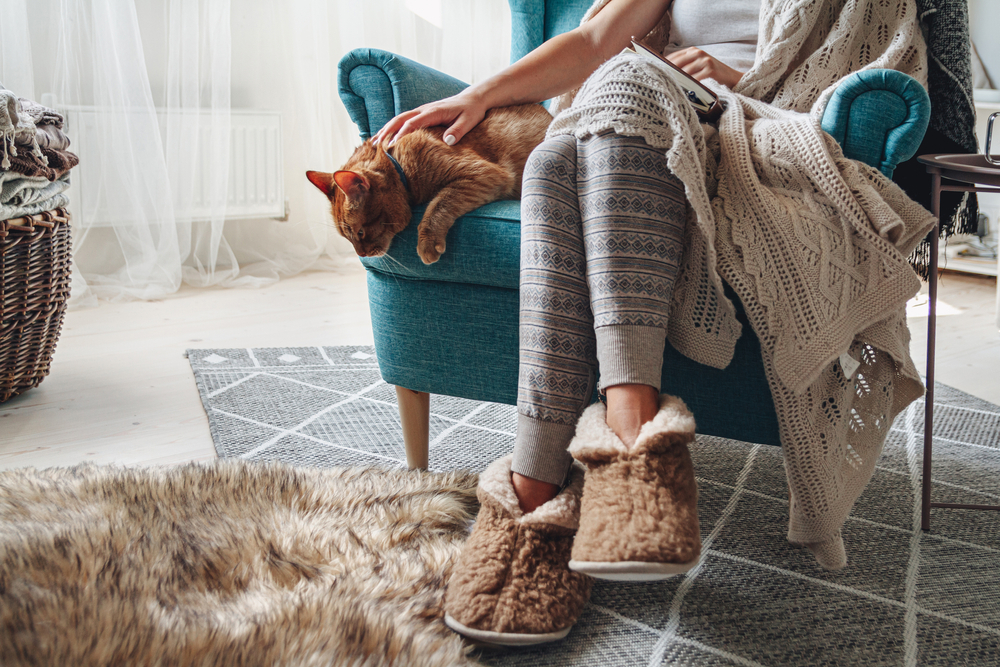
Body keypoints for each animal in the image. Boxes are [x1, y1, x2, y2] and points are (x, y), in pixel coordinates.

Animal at [306, 104, 552, 264]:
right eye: (347, 238)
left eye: (359, 233)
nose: (361, 255)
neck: (400, 163)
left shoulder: (483, 173)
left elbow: (439, 203)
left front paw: (427, 241)